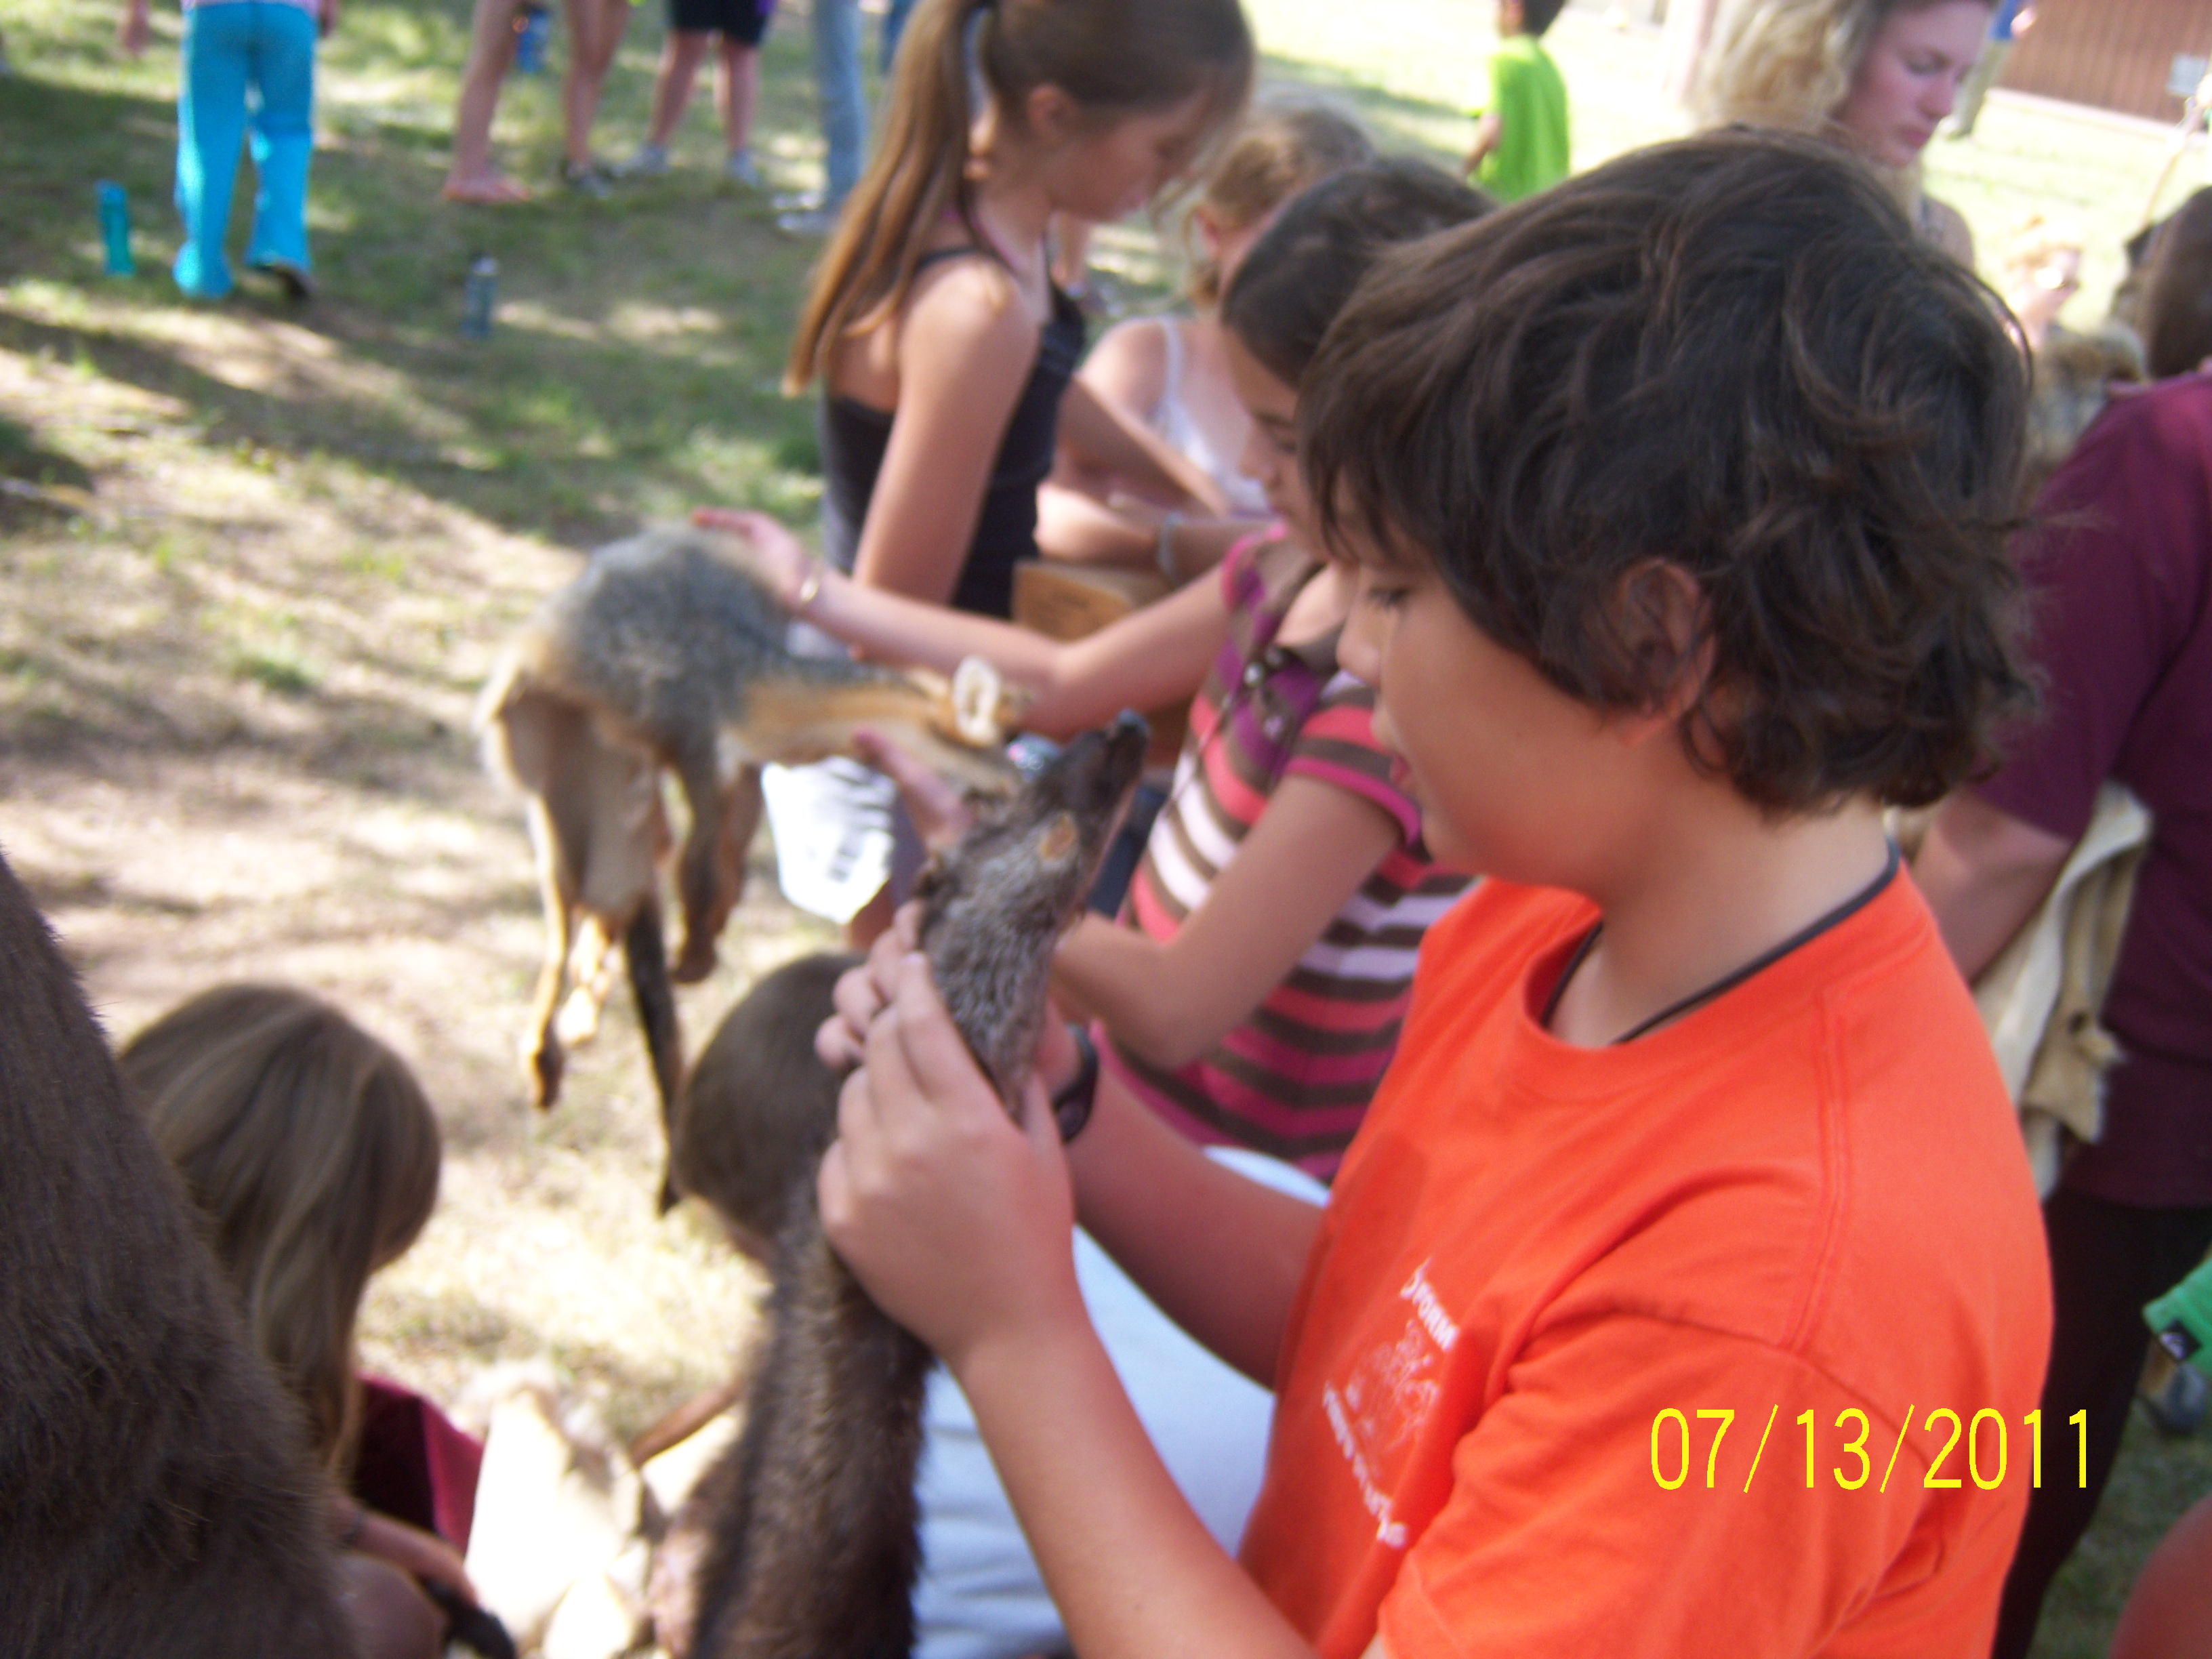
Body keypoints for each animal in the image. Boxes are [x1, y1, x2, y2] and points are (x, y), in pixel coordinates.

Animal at [478, 525, 1026, 1173]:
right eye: (1005, 796)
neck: (750, 683)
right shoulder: (699, 747)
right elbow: (703, 874)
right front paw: (693, 957)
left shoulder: (740, 776)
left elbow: (726, 876)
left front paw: (702, 947)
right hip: (569, 838)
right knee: (562, 943)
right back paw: (545, 1052)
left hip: (621, 841)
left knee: (607, 918)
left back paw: (584, 1013)